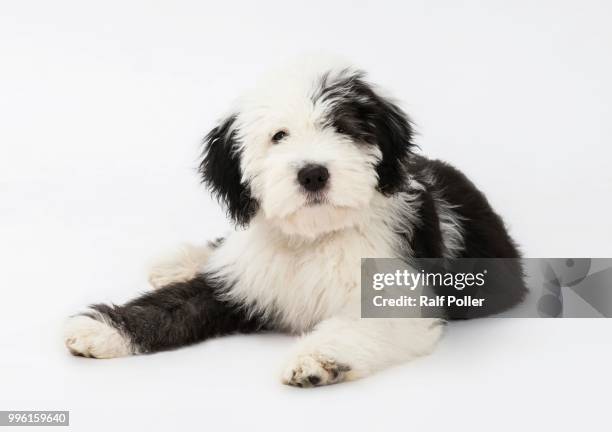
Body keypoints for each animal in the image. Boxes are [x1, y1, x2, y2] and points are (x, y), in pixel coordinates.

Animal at [63, 59, 524, 386]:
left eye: (343, 128)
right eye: (279, 136)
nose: (313, 173)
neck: (314, 236)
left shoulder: (395, 293)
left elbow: (360, 324)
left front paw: (318, 359)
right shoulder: (241, 279)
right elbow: (172, 305)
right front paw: (100, 330)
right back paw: (178, 262)